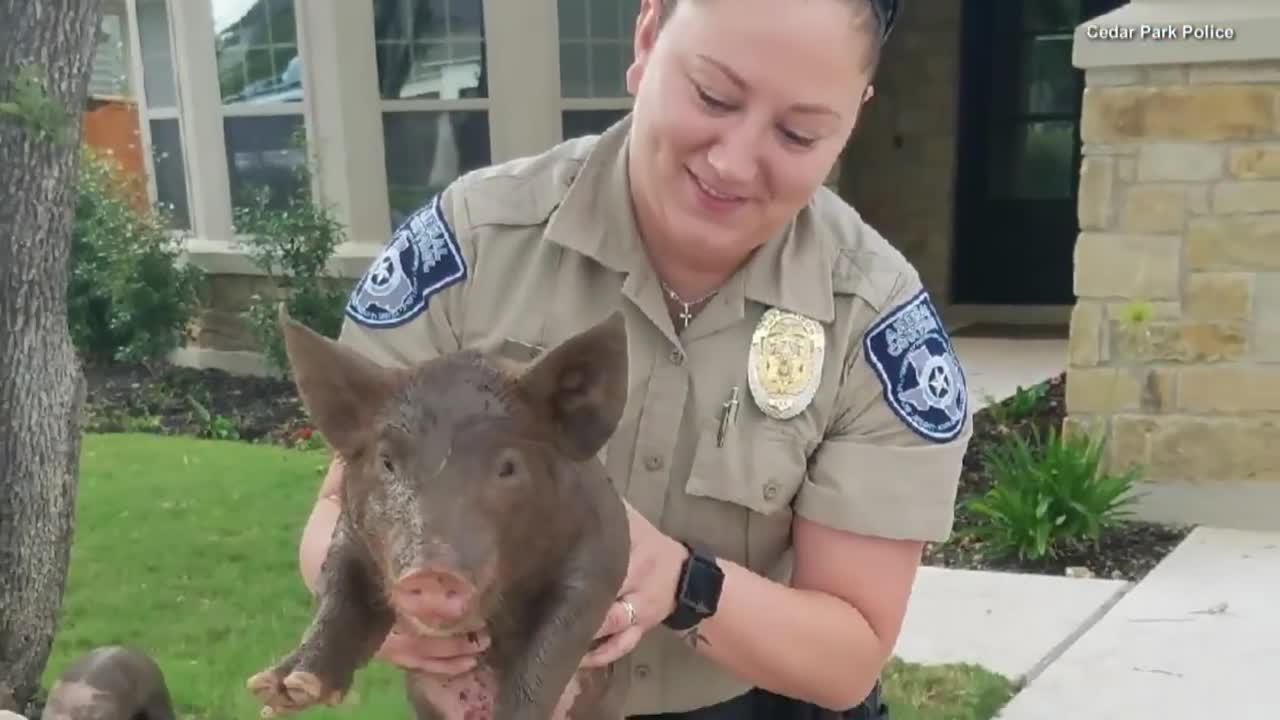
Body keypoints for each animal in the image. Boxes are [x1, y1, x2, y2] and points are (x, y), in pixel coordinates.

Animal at [247, 308, 632, 717]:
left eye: (508, 467)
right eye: (387, 461)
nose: (432, 573)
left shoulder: (603, 549)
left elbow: (553, 645)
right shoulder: (351, 533)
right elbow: (338, 594)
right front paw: (282, 689)